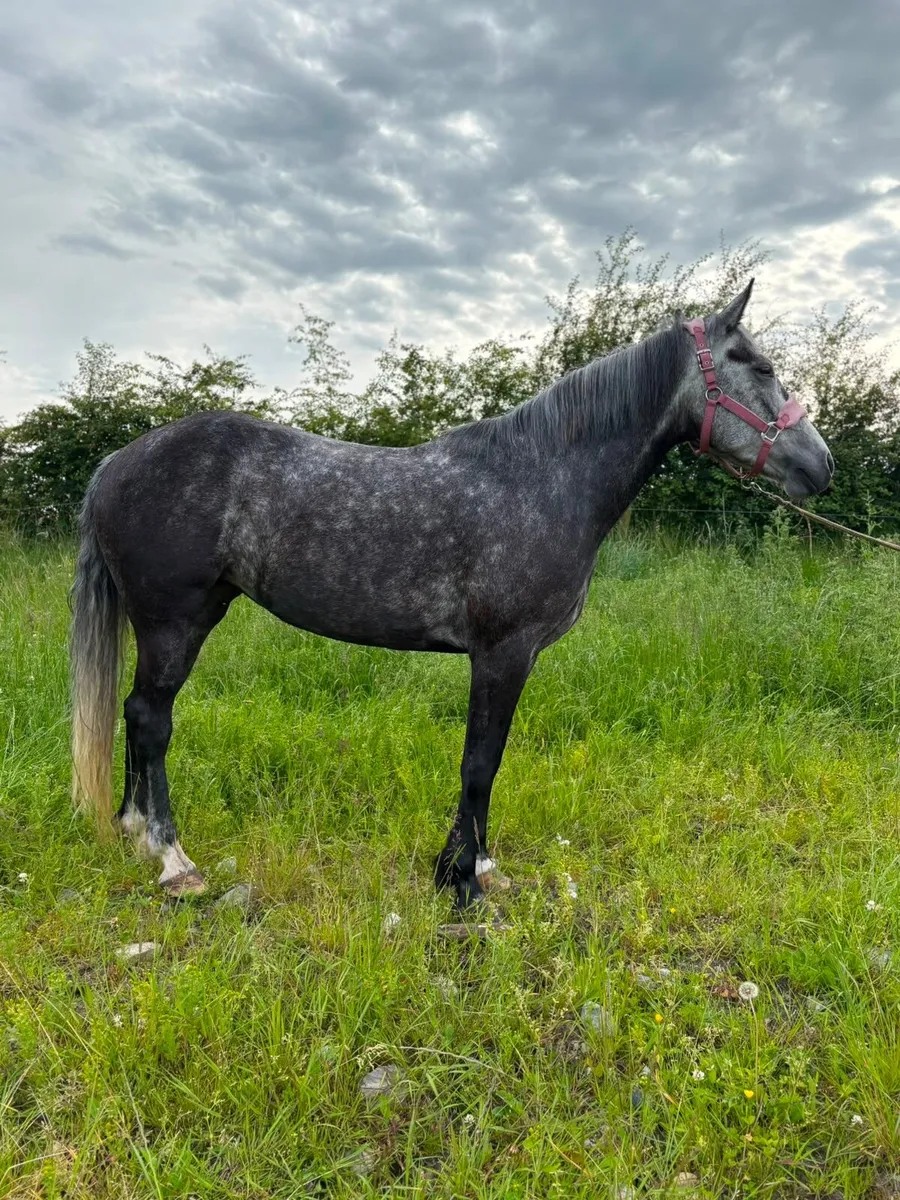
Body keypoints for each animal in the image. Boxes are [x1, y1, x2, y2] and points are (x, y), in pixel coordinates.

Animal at [69, 281, 833, 910]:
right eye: (759, 365)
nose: (820, 466)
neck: (541, 478)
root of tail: (118, 461)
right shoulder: (503, 653)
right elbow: (480, 761)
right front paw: (462, 881)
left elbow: (484, 762)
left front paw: (479, 867)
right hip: (174, 620)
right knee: (151, 719)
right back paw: (173, 861)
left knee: (137, 715)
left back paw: (134, 830)